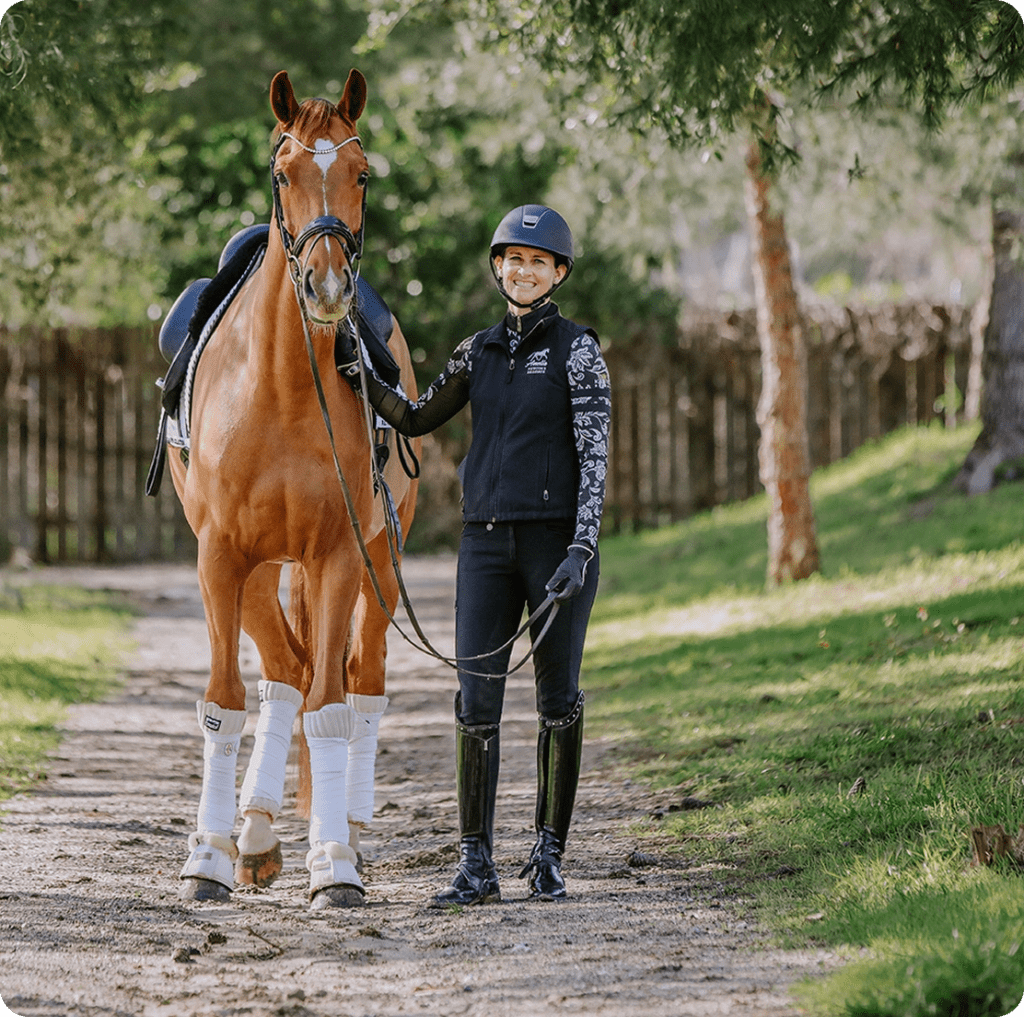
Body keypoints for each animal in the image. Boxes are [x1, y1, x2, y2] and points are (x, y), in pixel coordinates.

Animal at [167, 68, 420, 909]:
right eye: (283, 174)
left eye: (363, 174)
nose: (329, 283)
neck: (277, 385)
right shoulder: (220, 557)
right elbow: (225, 702)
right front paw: (207, 857)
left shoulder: (339, 556)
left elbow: (331, 707)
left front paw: (334, 860)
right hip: (252, 569)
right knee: (281, 673)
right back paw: (252, 834)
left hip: (380, 560)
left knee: (357, 676)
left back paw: (349, 828)